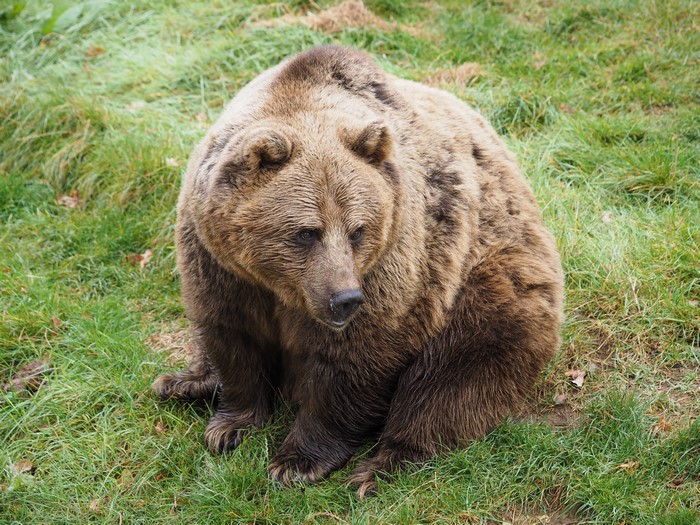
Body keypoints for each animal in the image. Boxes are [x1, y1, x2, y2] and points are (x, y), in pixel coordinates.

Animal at [152, 45, 564, 497]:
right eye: (306, 231)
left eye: (358, 229)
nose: (345, 299)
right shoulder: (220, 264)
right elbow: (233, 334)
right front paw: (229, 426)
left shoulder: (398, 258)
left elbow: (355, 361)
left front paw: (296, 461)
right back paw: (184, 383)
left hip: (489, 280)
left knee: (453, 375)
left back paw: (381, 465)